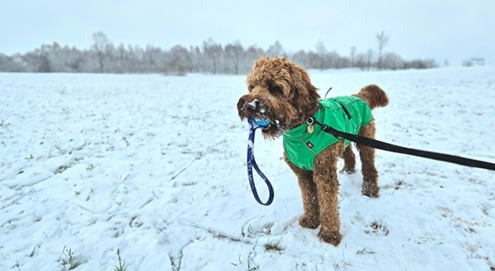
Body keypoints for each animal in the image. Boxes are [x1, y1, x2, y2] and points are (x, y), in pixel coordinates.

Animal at [238, 56, 390, 246]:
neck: (302, 127)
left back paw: (370, 189)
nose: (248, 106)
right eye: (252, 87)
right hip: (342, 139)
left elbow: (328, 203)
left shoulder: (324, 171)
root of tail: (358, 96)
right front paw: (311, 220)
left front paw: (329, 234)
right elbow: (309, 198)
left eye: (275, 88)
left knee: (369, 165)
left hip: (365, 140)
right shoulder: (302, 172)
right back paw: (348, 169)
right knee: (349, 154)